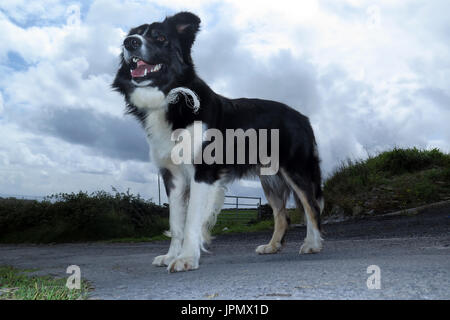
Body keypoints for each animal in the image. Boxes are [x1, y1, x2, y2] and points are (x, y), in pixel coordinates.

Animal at [112, 12, 324, 272]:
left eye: (159, 37)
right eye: (134, 34)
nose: (129, 43)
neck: (172, 96)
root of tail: (303, 118)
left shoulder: (203, 172)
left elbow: (192, 219)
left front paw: (187, 258)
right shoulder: (173, 176)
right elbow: (175, 222)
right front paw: (171, 256)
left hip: (296, 169)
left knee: (311, 205)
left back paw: (313, 244)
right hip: (269, 177)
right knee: (282, 214)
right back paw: (272, 246)